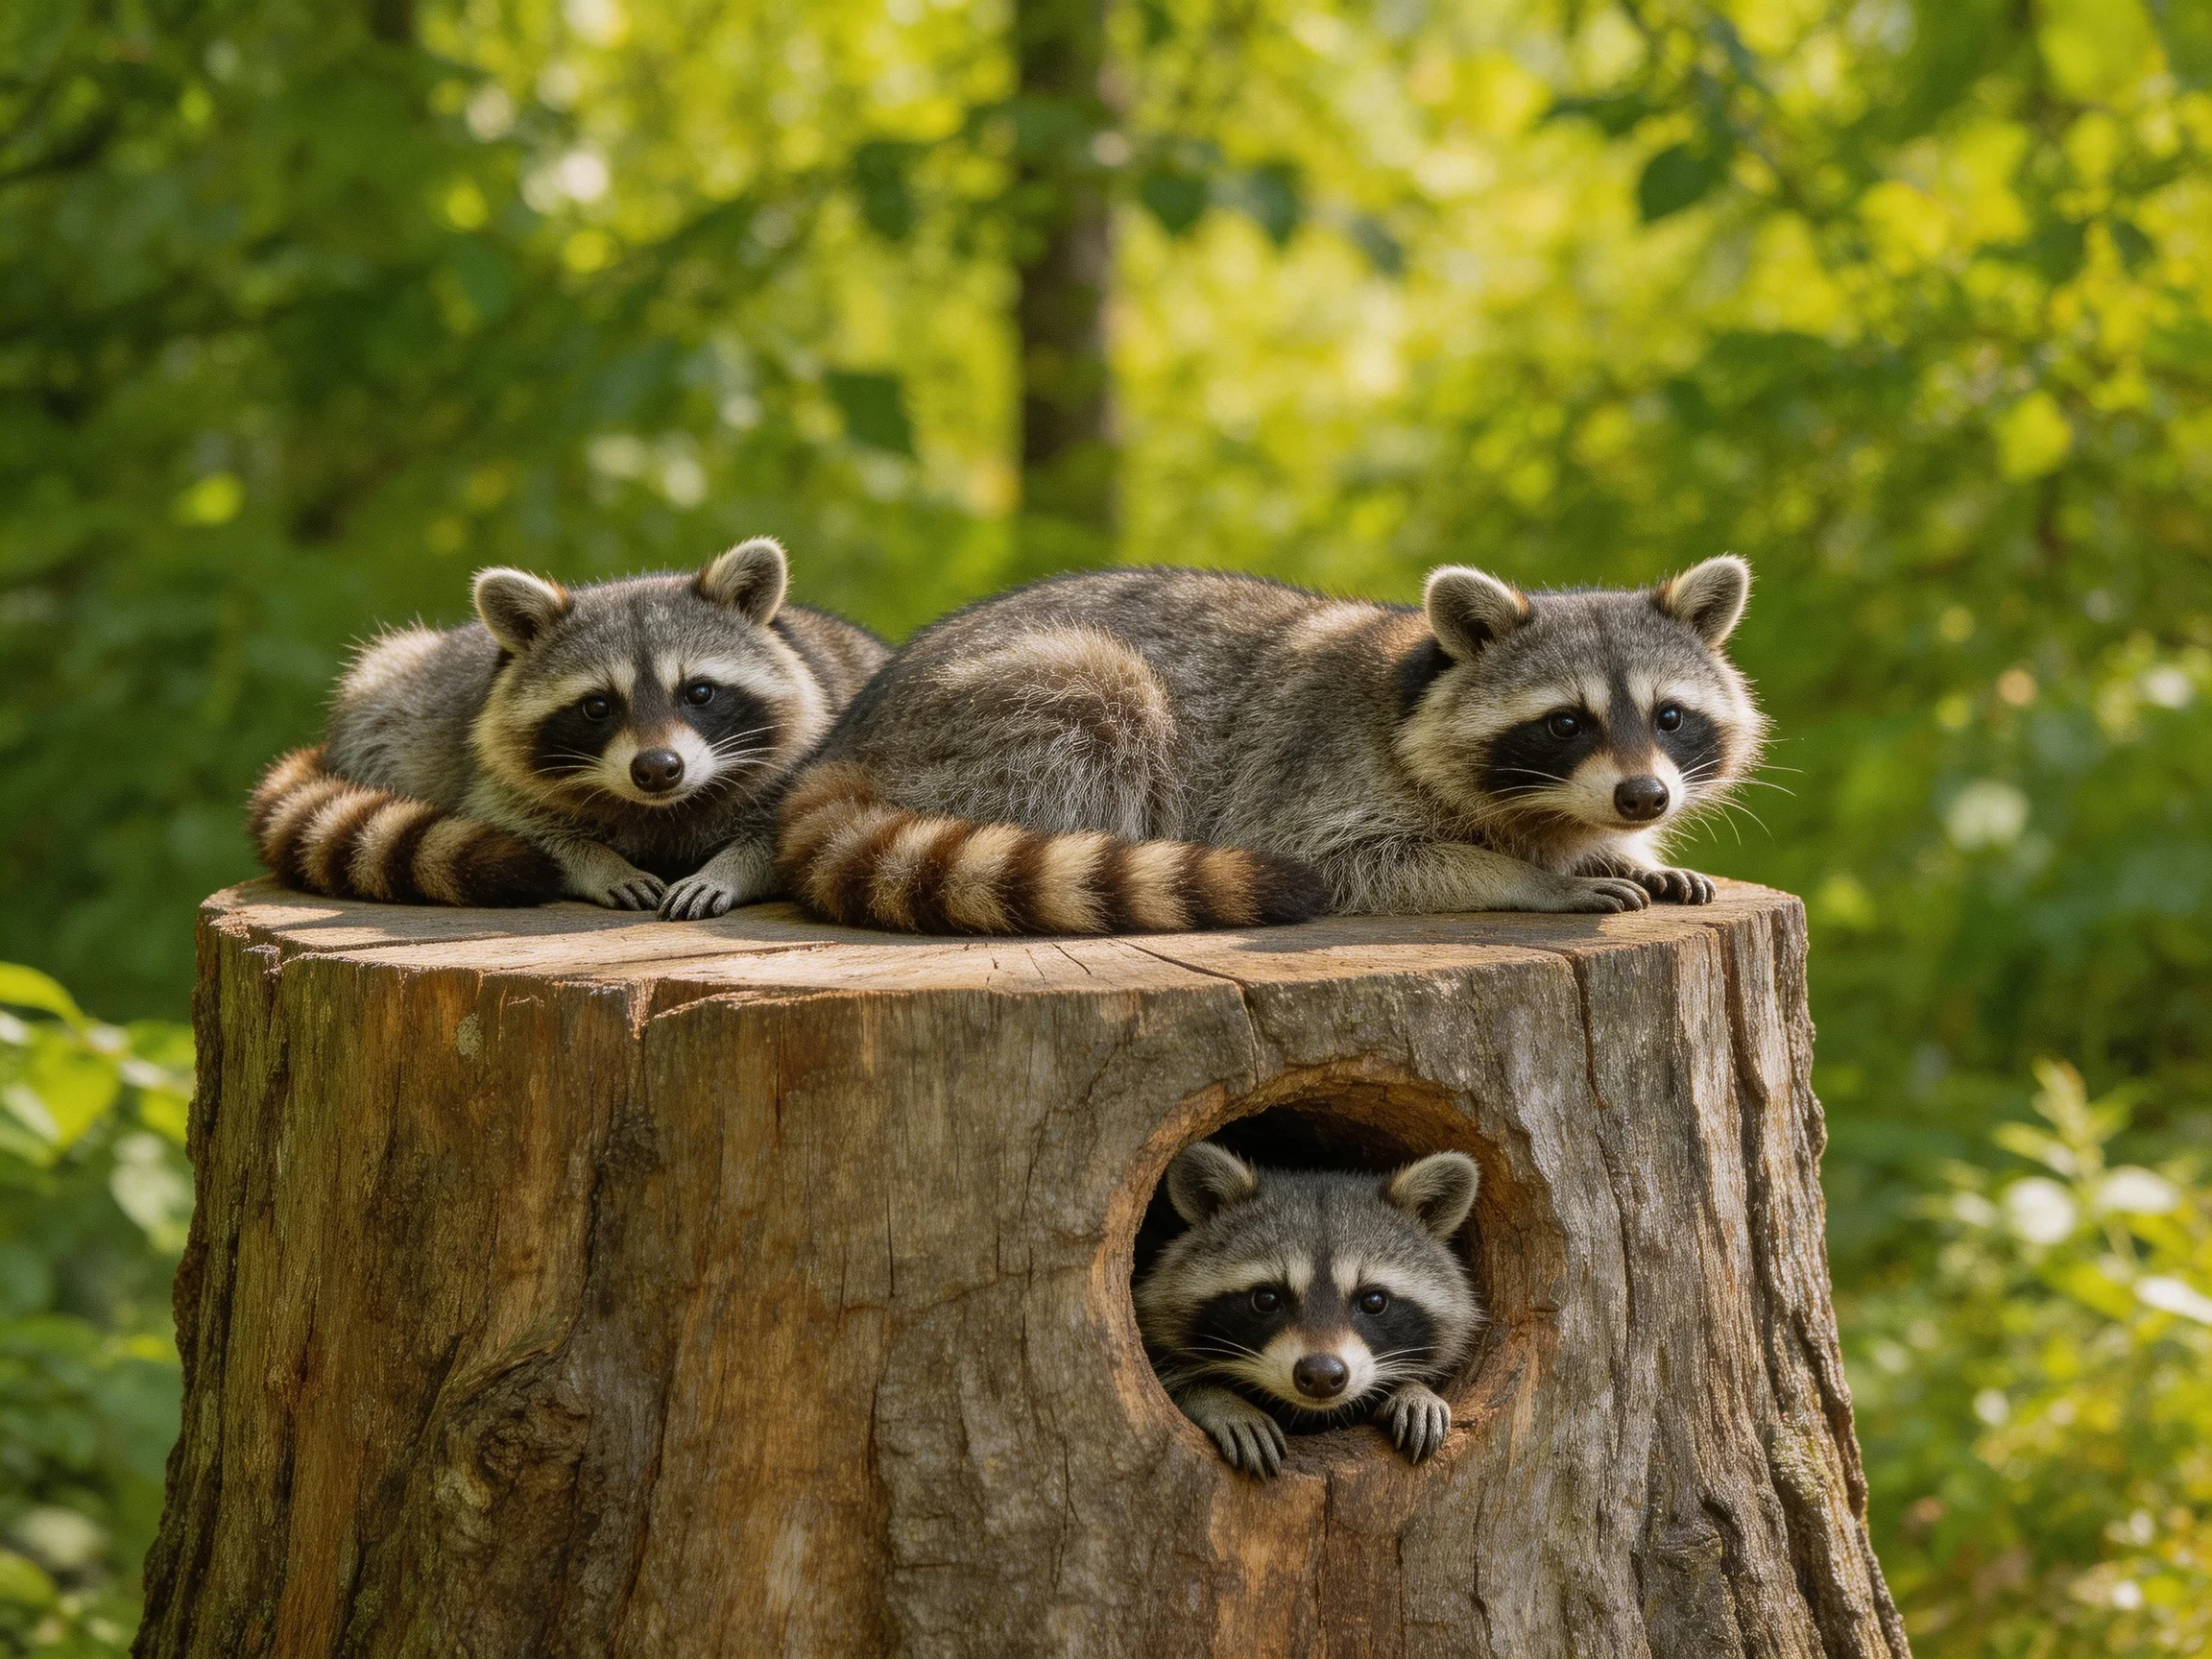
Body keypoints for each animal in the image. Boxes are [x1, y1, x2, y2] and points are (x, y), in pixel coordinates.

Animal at [252, 538, 886, 918]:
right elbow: (517, 821)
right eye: (597, 707)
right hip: (388, 697)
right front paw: (593, 862)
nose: (658, 770)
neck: (659, 810)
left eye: (700, 692)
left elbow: (785, 838)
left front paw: (729, 869)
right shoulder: (491, 777)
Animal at [776, 557, 1762, 935]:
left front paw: (1626, 853)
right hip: (1015, 705)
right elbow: (1362, 862)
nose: (1644, 798)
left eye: (1669, 717)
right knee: (1100, 705)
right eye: (1566, 723)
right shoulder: (1315, 781)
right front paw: (1532, 878)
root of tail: (858, 733)